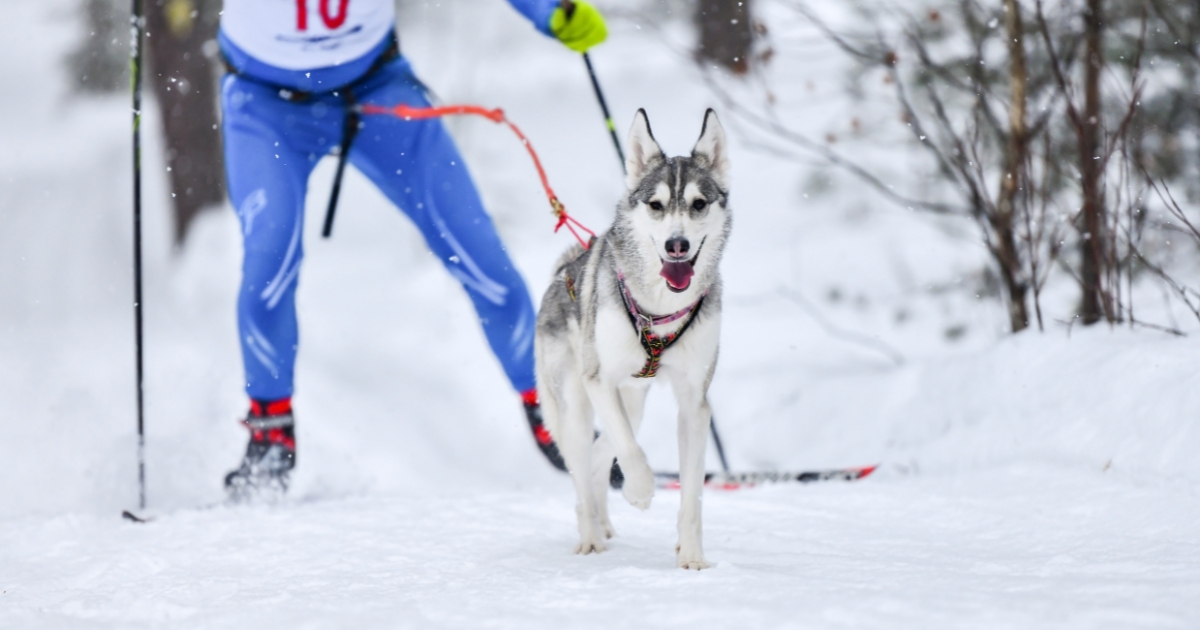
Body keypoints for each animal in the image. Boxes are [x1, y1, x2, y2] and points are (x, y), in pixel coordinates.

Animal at [537, 109, 729, 568]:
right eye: (655, 205)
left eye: (699, 203)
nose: (677, 244)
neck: (658, 308)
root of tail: (562, 273)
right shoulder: (599, 380)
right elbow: (632, 451)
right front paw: (640, 490)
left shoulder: (694, 403)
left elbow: (692, 495)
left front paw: (691, 557)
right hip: (574, 406)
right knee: (585, 467)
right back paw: (591, 537)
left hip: (633, 401)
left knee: (597, 459)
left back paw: (603, 523)